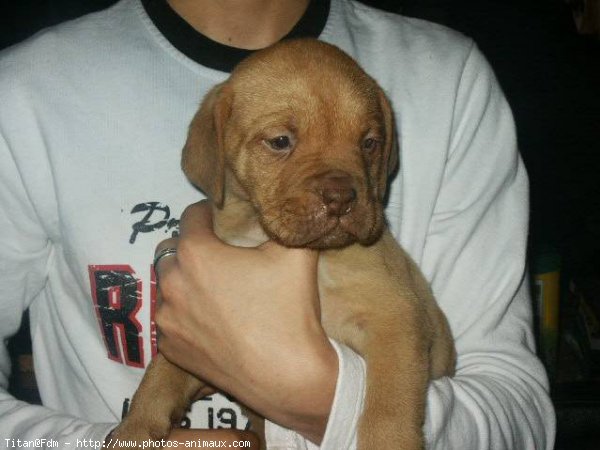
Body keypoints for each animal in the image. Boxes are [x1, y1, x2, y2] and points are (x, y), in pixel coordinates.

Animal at [113, 39, 454, 450]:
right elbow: (162, 371)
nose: (341, 198)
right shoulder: (192, 341)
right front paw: (134, 427)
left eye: (369, 143)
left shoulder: (396, 320)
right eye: (280, 141)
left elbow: (390, 405)